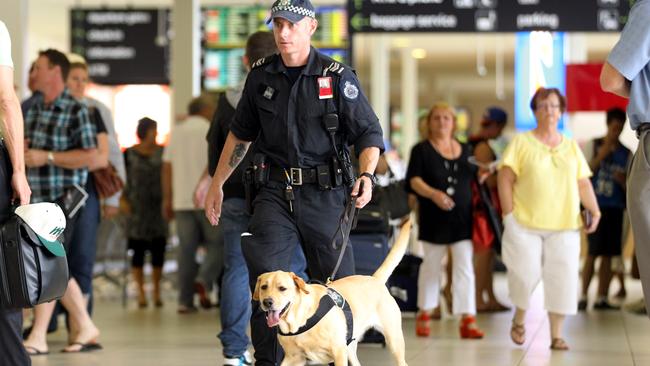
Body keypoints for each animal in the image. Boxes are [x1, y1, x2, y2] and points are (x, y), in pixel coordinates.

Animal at [253, 219, 410, 364]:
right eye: (264, 287)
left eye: (282, 288)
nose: (267, 302)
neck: (300, 319)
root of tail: (374, 279)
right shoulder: (294, 358)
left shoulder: (339, 351)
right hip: (350, 348)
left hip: (393, 341)